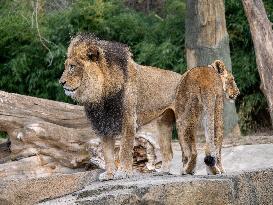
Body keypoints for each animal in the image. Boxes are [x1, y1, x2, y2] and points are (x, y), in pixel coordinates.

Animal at [59, 33, 181, 179]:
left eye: (72, 66)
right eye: (67, 66)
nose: (61, 82)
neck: (102, 92)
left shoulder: (128, 120)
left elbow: (125, 149)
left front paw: (123, 172)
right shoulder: (103, 123)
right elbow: (107, 153)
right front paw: (109, 174)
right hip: (163, 124)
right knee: (169, 152)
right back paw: (163, 171)